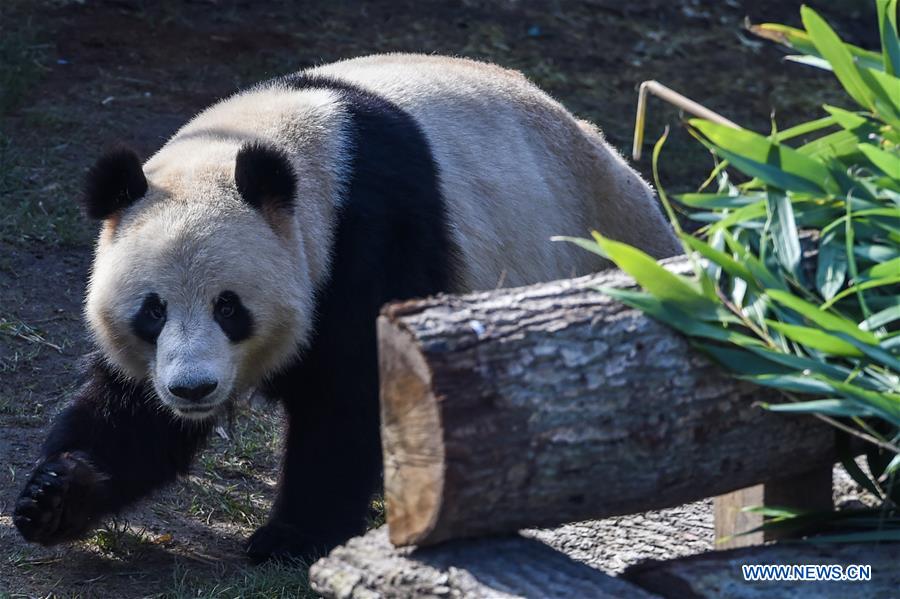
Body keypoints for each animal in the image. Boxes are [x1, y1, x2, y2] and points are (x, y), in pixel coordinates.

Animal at [13, 54, 680, 562]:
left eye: (229, 307)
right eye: (152, 311)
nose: (192, 389)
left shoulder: (372, 239)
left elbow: (351, 395)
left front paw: (290, 539)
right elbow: (132, 414)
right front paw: (54, 494)